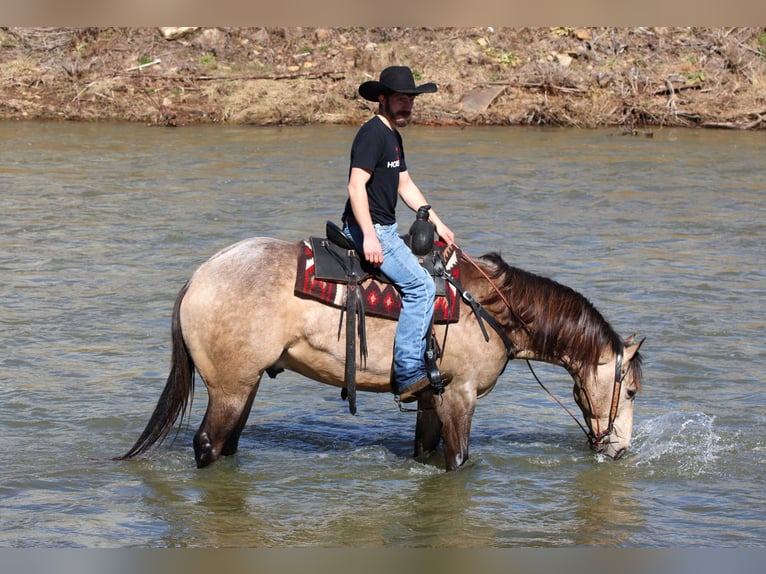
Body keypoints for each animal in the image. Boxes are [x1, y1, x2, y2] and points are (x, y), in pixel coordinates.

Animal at [116, 236, 644, 471]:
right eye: (632, 392)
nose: (619, 447)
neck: (491, 308)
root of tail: (199, 276)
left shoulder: (433, 398)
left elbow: (426, 452)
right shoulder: (460, 396)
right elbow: (458, 459)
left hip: (243, 387)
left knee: (226, 446)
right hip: (228, 388)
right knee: (207, 445)